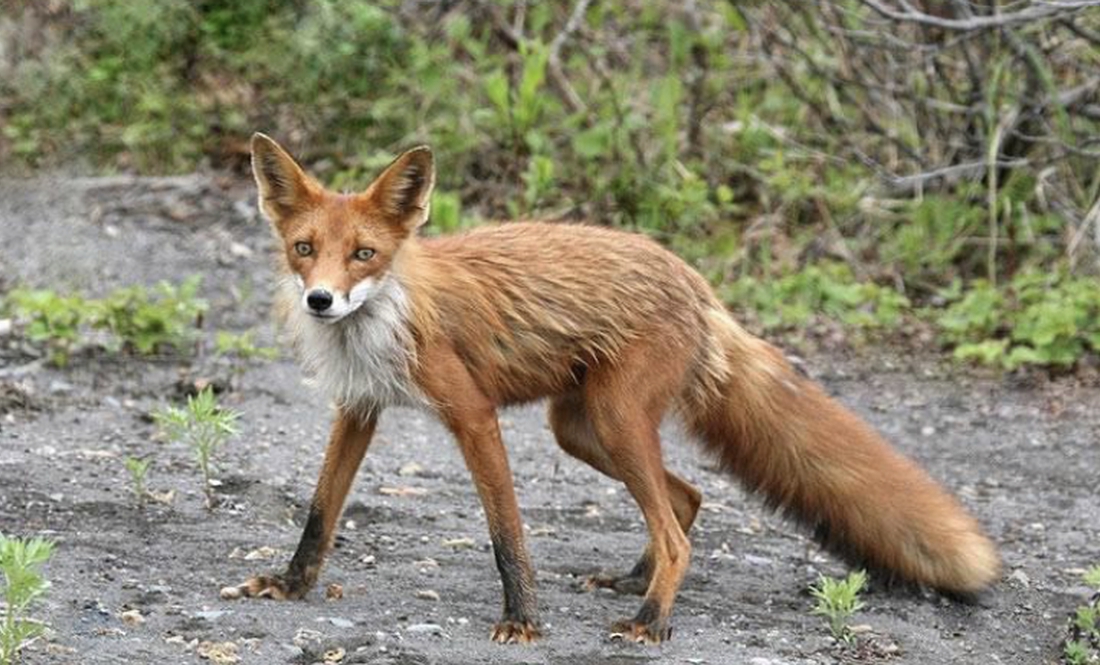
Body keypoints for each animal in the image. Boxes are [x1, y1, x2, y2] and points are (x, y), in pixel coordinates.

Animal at [225, 133, 1007, 641]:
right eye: (304, 249)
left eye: (364, 253)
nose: (321, 301)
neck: (385, 316)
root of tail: (695, 282)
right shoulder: (358, 407)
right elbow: (319, 514)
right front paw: (291, 585)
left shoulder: (473, 413)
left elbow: (507, 532)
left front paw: (522, 620)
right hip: (581, 428)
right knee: (685, 501)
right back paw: (637, 583)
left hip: (616, 418)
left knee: (677, 530)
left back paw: (650, 621)